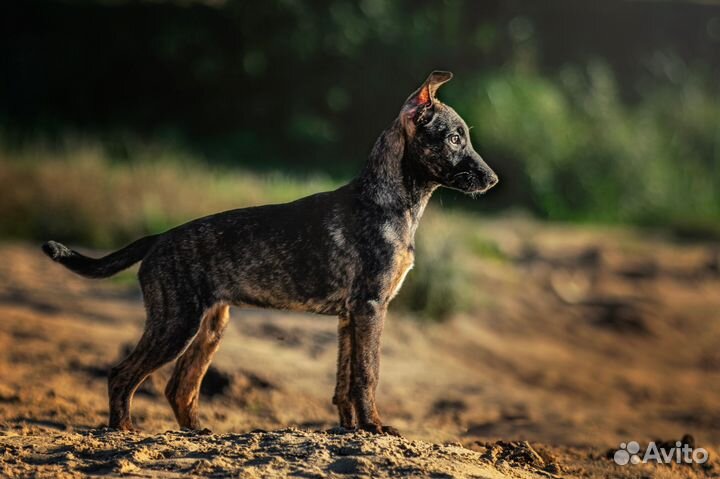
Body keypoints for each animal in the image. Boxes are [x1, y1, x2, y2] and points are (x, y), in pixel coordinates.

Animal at [42, 70, 498, 436]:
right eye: (453, 138)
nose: (493, 180)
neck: (391, 201)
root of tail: (158, 238)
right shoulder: (370, 307)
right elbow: (368, 374)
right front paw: (374, 428)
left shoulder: (350, 316)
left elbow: (344, 382)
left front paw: (351, 430)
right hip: (175, 323)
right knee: (122, 375)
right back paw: (122, 430)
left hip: (209, 326)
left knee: (180, 387)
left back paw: (196, 432)